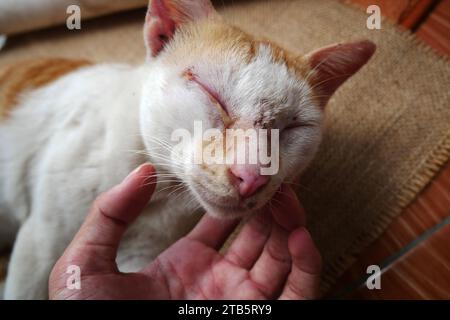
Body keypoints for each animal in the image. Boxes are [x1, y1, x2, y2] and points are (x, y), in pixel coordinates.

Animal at [0, 0, 374, 300]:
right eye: (212, 94)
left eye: (294, 127)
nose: (252, 175)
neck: (162, 193)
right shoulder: (39, 245)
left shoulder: (141, 253)